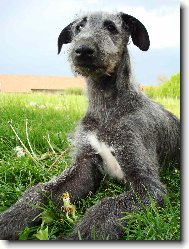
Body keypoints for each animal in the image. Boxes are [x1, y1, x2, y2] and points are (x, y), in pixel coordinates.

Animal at [0, 11, 180, 239]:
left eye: (111, 27)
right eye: (78, 27)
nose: (83, 50)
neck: (106, 108)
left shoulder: (148, 185)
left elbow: (105, 207)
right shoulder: (84, 166)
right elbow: (39, 191)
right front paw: (10, 219)